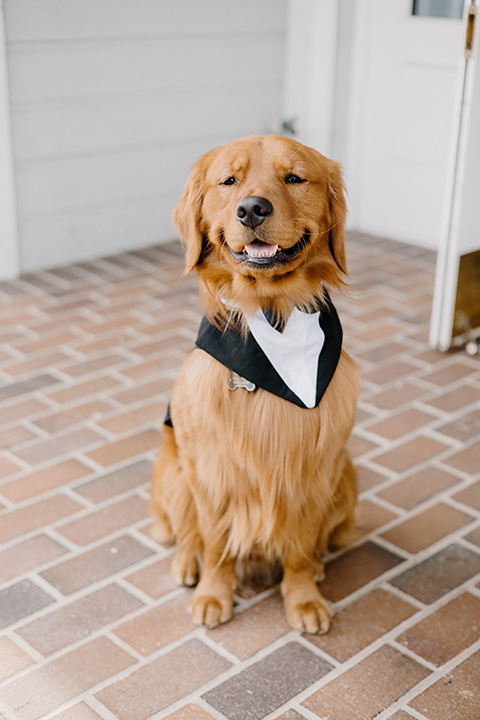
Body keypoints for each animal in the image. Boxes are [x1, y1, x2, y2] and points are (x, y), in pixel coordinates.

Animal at [152, 135, 358, 636]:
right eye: (229, 180)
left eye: (295, 177)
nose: (251, 209)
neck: (272, 313)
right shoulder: (211, 471)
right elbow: (215, 543)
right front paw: (213, 593)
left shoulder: (313, 470)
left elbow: (300, 546)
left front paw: (303, 599)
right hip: (173, 470)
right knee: (187, 534)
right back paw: (187, 564)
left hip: (347, 477)